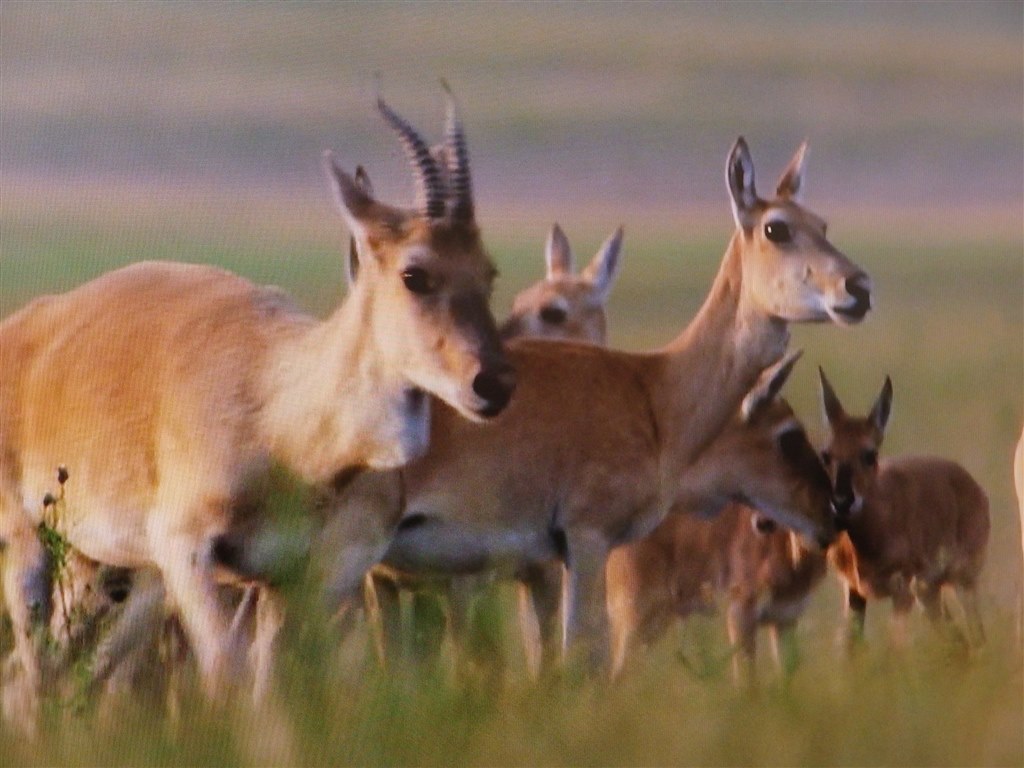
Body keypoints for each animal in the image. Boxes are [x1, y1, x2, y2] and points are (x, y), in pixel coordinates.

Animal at [0, 85, 512, 729]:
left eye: (488, 271)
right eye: (414, 272)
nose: (493, 383)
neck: (275, 408)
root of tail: (25, 329)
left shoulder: (298, 579)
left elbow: (272, 689)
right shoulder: (191, 555)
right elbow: (227, 675)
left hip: (115, 575)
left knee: (46, 676)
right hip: (33, 551)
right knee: (36, 674)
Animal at [815, 370, 991, 651]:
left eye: (869, 453)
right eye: (826, 454)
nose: (842, 502)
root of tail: (971, 484)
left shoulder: (902, 594)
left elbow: (896, 648)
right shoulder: (854, 593)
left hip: (960, 583)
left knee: (976, 634)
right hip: (930, 594)